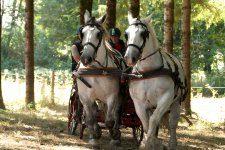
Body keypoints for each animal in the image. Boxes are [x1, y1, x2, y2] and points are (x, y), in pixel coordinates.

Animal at [77, 10, 123, 145]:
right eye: (82, 33)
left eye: (98, 34)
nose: (86, 58)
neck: (94, 70)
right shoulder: (85, 98)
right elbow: (90, 120)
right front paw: (94, 136)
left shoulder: (112, 96)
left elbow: (109, 121)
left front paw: (114, 135)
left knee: (115, 113)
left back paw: (116, 135)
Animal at [124, 12, 187, 150]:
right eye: (126, 34)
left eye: (143, 33)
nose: (129, 58)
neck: (148, 71)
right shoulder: (139, 103)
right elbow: (146, 123)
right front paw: (151, 142)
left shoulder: (165, 99)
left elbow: (153, 120)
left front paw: (151, 143)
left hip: (175, 103)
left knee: (172, 124)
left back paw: (172, 143)